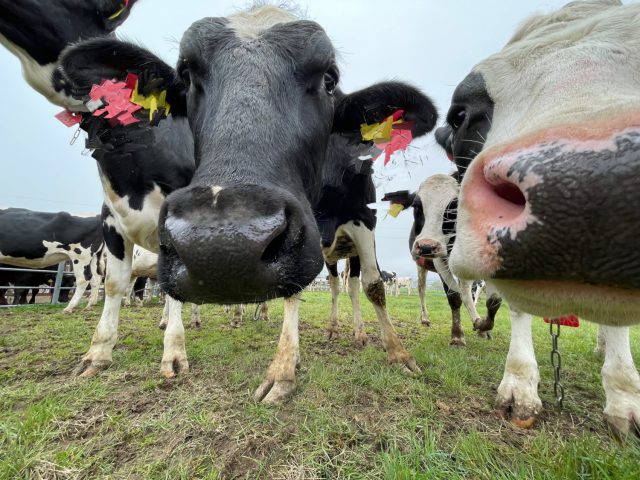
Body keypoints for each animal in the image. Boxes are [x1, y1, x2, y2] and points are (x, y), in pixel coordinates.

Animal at [56, 5, 440, 404]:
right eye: (185, 75)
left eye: (330, 78)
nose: (221, 246)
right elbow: (118, 284)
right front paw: (284, 368)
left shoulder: (362, 220)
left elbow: (374, 286)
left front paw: (398, 353)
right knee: (335, 287)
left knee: (351, 286)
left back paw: (357, 332)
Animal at [382, 176, 502, 344]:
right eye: (416, 206)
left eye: (454, 207)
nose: (426, 246)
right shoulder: (440, 261)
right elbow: (454, 296)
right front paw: (457, 336)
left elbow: (492, 299)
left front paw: (483, 326)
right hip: (421, 264)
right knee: (422, 289)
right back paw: (425, 318)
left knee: (466, 293)